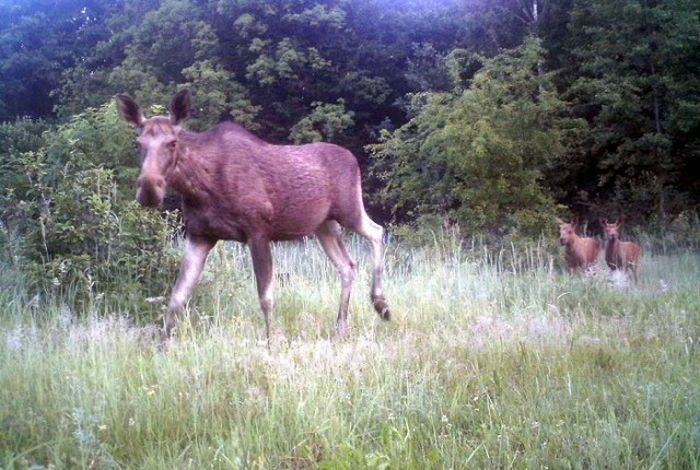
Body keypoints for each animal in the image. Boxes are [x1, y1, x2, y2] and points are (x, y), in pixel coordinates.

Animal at [114, 92, 388, 340]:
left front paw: (271, 343)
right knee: (347, 265)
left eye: (172, 142)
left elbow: (265, 297)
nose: (149, 189)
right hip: (324, 225)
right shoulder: (199, 235)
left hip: (349, 210)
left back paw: (380, 304)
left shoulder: (258, 231)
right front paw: (163, 347)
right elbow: (177, 297)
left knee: (377, 231)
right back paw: (341, 327)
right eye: (138, 143)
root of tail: (354, 159)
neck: (200, 187)